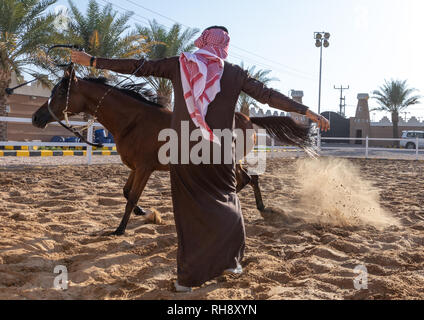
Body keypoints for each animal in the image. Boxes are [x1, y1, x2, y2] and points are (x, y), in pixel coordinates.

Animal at [30, 65, 308, 235]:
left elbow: (132, 197)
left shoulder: (145, 168)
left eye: (61, 92)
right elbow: (126, 192)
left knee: (245, 180)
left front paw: (120, 229)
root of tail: (248, 118)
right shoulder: (136, 167)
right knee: (250, 179)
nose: (36, 117)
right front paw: (146, 213)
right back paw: (257, 208)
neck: (133, 120)